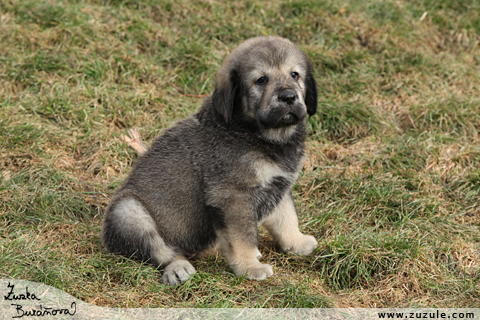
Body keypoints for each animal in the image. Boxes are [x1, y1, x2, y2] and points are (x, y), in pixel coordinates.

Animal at [101, 35, 318, 284]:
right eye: (261, 80)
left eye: (295, 74)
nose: (289, 97)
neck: (260, 134)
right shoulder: (233, 196)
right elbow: (243, 237)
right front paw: (249, 267)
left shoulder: (278, 184)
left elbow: (287, 218)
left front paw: (297, 242)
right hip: (128, 212)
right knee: (160, 250)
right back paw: (177, 268)